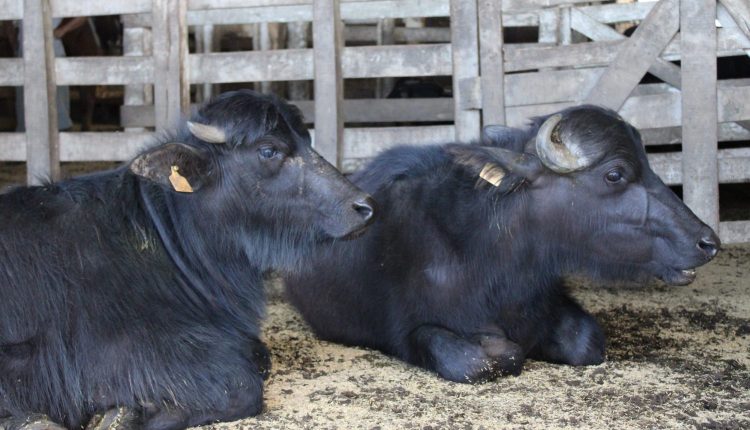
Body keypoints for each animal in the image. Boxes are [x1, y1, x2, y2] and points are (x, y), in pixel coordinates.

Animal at [0, 89, 376, 428]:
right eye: (269, 150)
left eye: (305, 139)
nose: (365, 206)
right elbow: (242, 385)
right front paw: (124, 414)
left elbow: (258, 356)